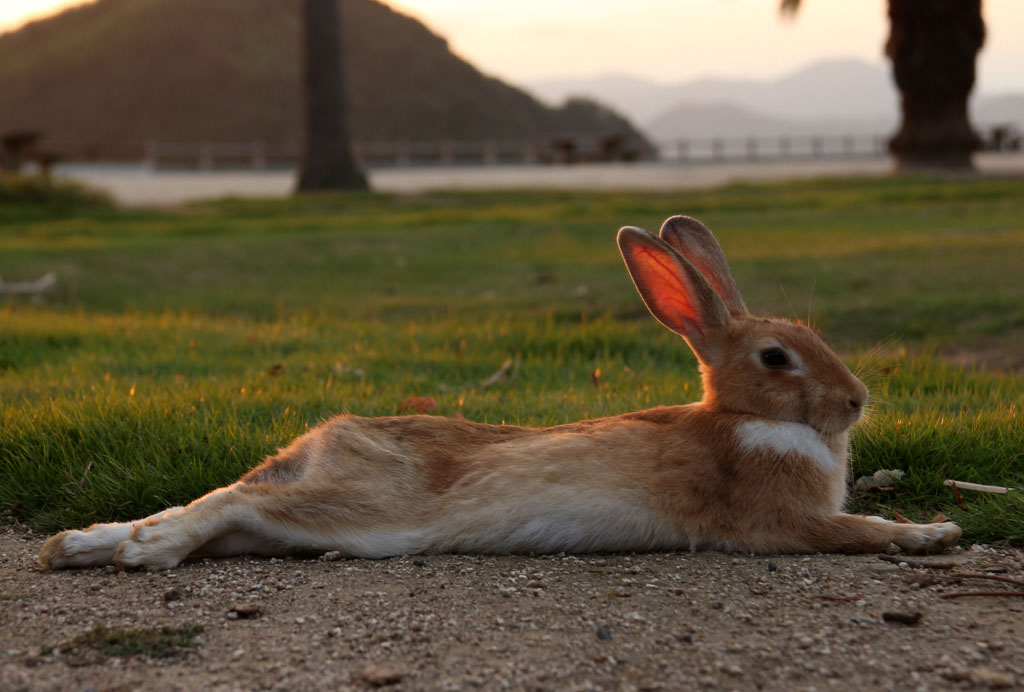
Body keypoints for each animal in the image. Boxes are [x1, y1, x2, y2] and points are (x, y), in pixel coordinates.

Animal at [39, 215, 961, 570]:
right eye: (777, 358)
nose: (855, 402)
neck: (740, 418)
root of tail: (320, 444)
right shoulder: (781, 522)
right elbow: (855, 530)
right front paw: (933, 533)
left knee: (213, 508)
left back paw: (81, 545)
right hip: (368, 517)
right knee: (230, 501)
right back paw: (141, 552)